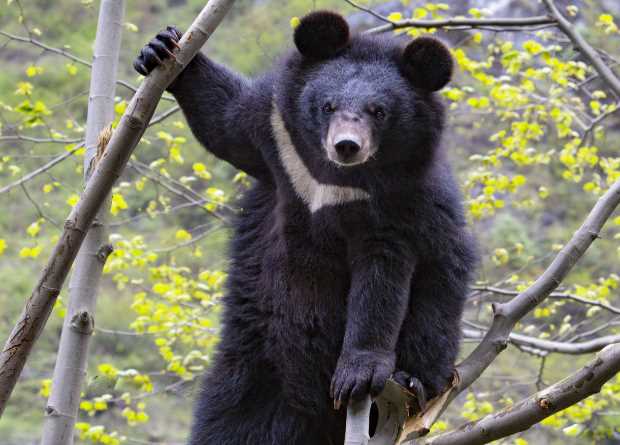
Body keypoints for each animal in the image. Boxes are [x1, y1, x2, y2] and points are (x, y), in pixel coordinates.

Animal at [136, 11, 474, 444]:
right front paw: (162, 48)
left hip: (439, 307)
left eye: (379, 111)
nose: (346, 146)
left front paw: (357, 374)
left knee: (432, 324)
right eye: (328, 105)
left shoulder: (399, 203)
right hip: (254, 357)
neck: (334, 180)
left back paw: (410, 383)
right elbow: (227, 123)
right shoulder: (277, 142)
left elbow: (381, 279)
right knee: (230, 417)